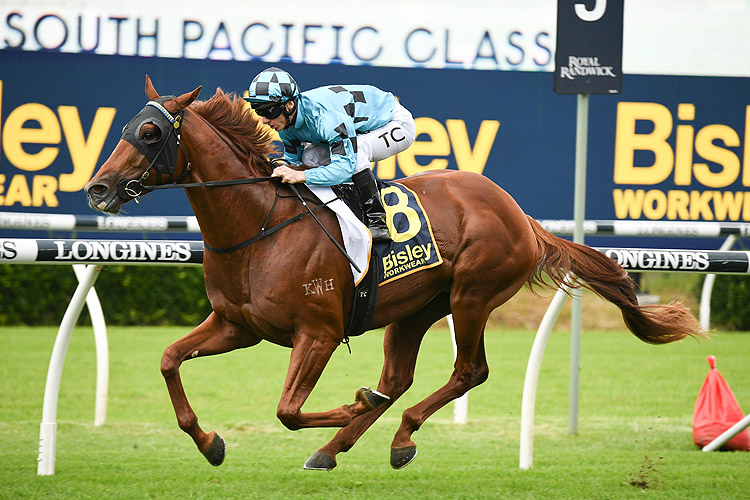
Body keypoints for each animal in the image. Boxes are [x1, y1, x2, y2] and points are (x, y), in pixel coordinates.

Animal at [85, 76, 708, 470]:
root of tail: (521, 215)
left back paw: (393, 433)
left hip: (472, 295)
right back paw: (339, 446)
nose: (97, 189)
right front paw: (210, 441)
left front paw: (351, 404)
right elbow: (169, 360)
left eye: (150, 134)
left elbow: (288, 410)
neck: (259, 226)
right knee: (399, 378)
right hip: (413, 310)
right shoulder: (237, 326)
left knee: (467, 371)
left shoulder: (318, 332)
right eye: (125, 128)